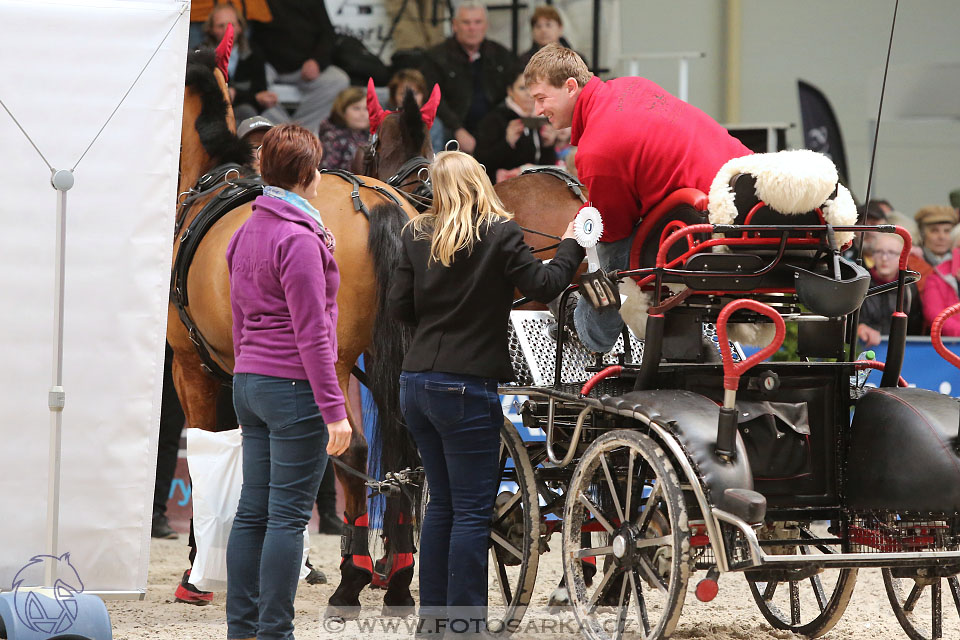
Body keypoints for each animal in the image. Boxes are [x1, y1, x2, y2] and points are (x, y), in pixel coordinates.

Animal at [170, 45, 424, 616]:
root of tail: (375, 201)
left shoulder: (192, 369)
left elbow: (204, 453)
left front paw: (198, 569)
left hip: (330, 364)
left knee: (352, 452)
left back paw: (352, 580)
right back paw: (397, 578)